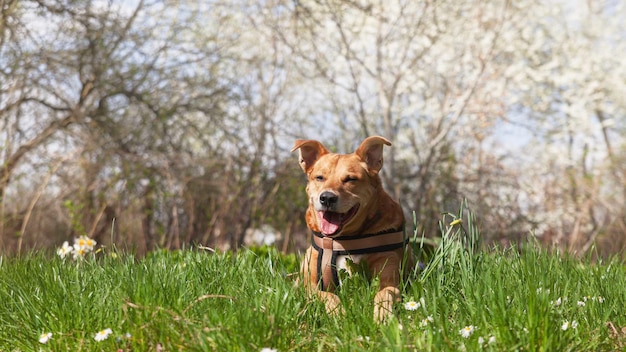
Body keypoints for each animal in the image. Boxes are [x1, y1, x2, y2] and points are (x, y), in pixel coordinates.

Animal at [292, 135, 408, 322]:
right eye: (319, 177)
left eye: (350, 179)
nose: (327, 198)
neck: (342, 240)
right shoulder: (307, 286)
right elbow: (326, 295)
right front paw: (337, 312)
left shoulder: (391, 277)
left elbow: (385, 293)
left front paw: (383, 314)